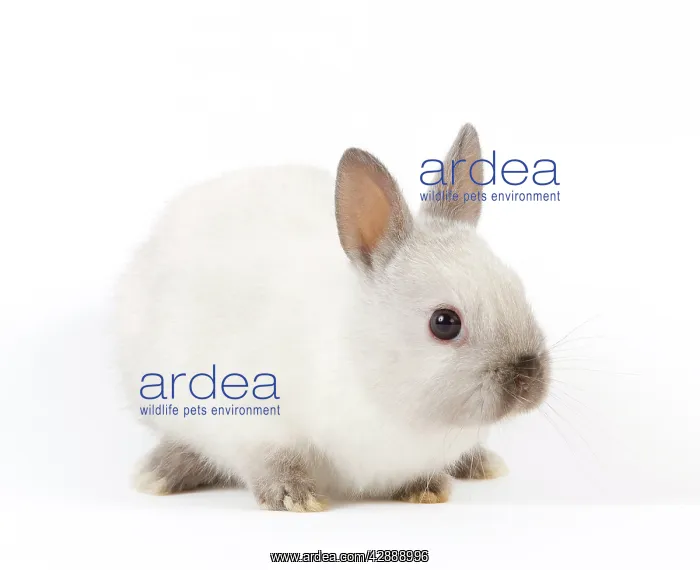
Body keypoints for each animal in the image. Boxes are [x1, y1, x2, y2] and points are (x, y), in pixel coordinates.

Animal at [115, 123, 550, 512]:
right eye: (444, 323)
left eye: (517, 288)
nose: (528, 380)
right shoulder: (250, 421)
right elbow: (270, 461)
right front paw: (295, 498)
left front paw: (424, 489)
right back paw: (157, 474)